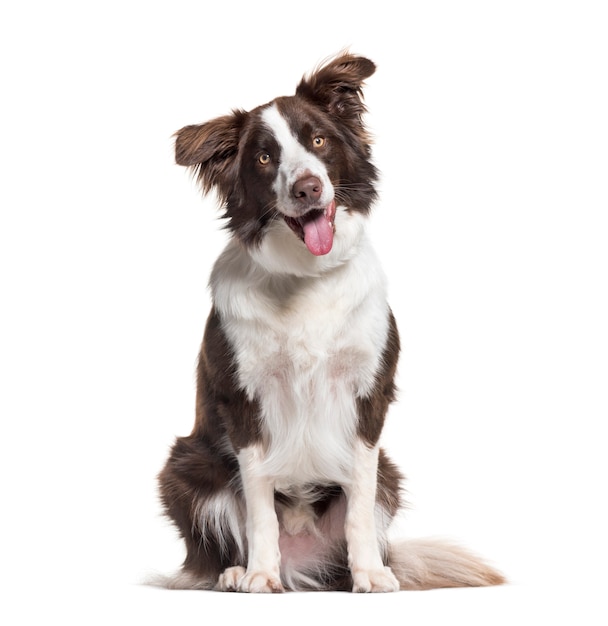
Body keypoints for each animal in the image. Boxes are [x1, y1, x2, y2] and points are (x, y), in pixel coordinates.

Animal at [158, 50, 504, 588]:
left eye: (318, 140)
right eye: (264, 158)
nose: (307, 188)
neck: (306, 275)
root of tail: (304, 562)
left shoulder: (366, 398)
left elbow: (359, 499)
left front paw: (369, 574)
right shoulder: (244, 402)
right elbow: (258, 501)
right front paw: (260, 573)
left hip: (391, 473)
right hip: (184, 465)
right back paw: (237, 571)